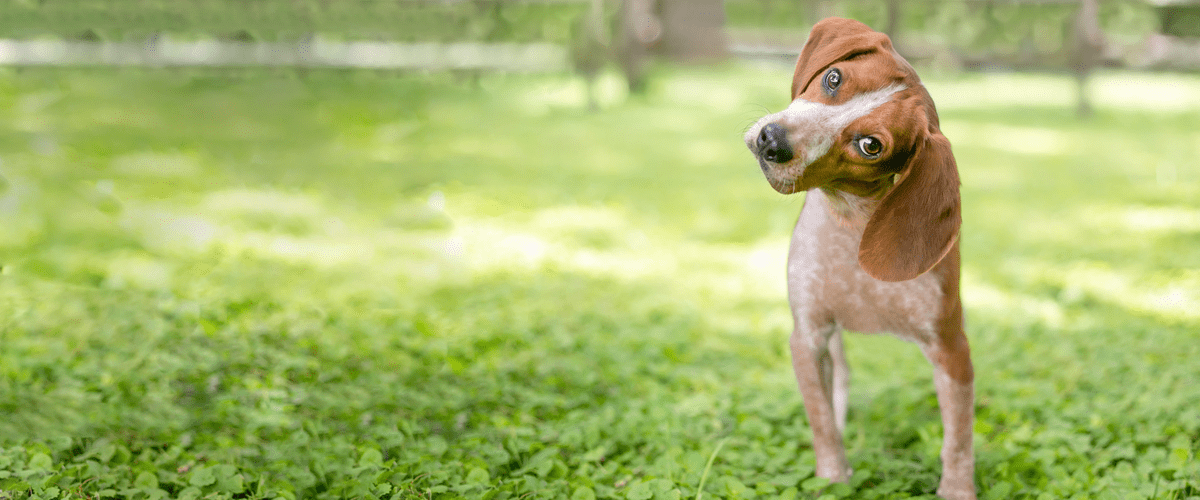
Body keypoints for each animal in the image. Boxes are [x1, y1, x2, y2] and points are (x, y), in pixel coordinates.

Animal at [744, 17, 979, 496]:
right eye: (833, 79)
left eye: (871, 145)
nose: (771, 140)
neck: (851, 227)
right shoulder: (809, 335)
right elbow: (821, 421)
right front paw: (833, 476)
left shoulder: (951, 349)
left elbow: (959, 439)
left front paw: (958, 489)